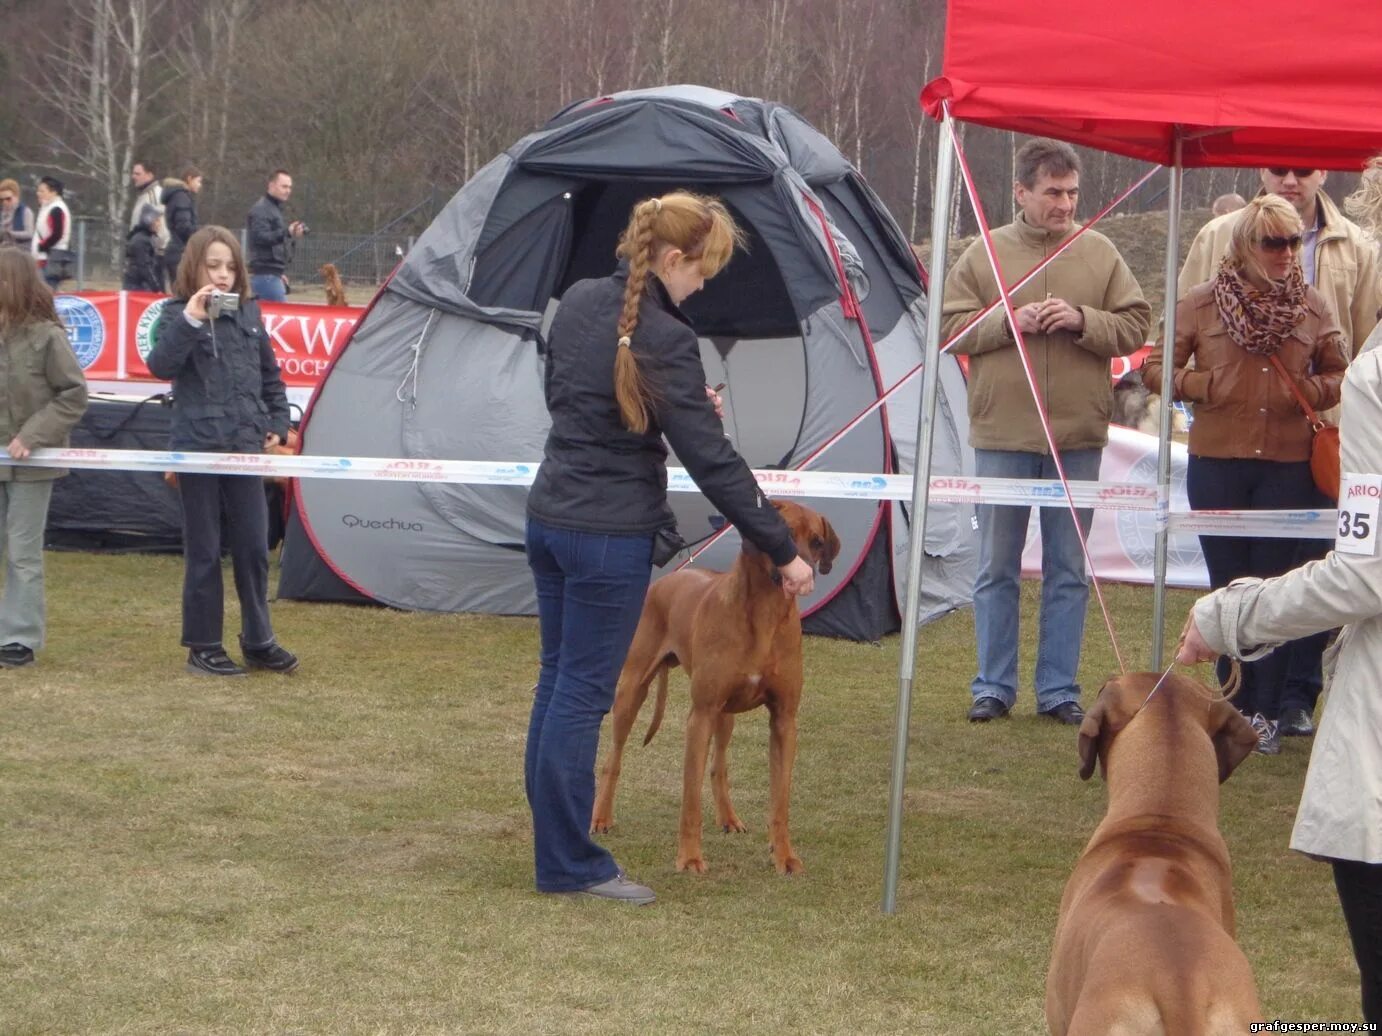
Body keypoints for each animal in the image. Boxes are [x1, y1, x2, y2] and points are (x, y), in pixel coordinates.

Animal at [588, 500, 834, 878]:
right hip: (632, 690)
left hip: (725, 713)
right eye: (785, 534)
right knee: (613, 758)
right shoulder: (700, 715)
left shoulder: (784, 719)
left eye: (818, 541)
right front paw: (689, 857)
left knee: (719, 766)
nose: (805, 571)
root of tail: (669, 577)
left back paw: (728, 817)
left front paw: (784, 855)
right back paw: (601, 816)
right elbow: (690, 798)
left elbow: (780, 800)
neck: (765, 614)